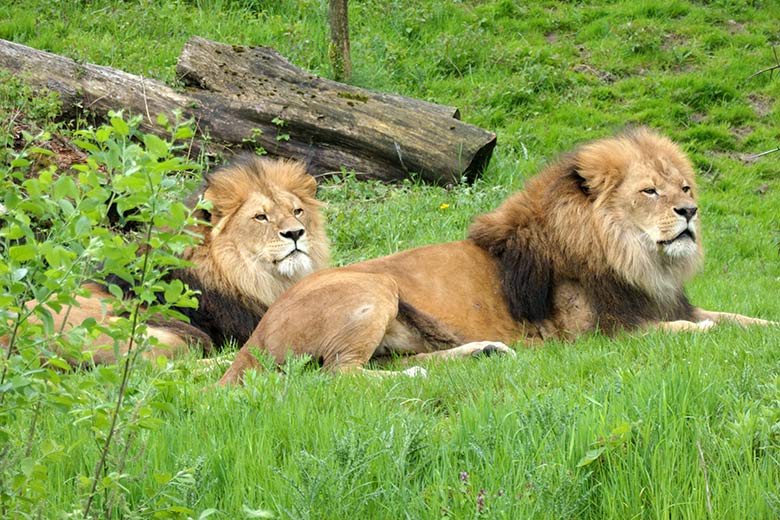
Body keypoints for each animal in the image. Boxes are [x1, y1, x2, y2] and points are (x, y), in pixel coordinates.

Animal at [215, 128, 772, 384]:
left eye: (684, 186)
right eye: (650, 192)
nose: (690, 211)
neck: (639, 260)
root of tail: (259, 330)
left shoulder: (666, 301)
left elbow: (744, 318)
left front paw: (766, 326)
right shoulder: (591, 336)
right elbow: (691, 328)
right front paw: (705, 332)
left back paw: (481, 353)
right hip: (375, 287)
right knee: (335, 375)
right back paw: (416, 377)